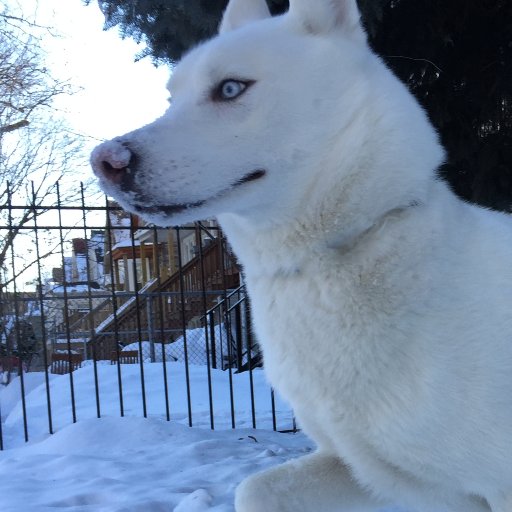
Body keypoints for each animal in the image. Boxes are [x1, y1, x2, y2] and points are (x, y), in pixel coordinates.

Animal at [92, 1, 512, 512]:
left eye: (230, 88)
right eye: (172, 101)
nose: (104, 161)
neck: (321, 261)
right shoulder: (358, 467)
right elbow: (254, 488)